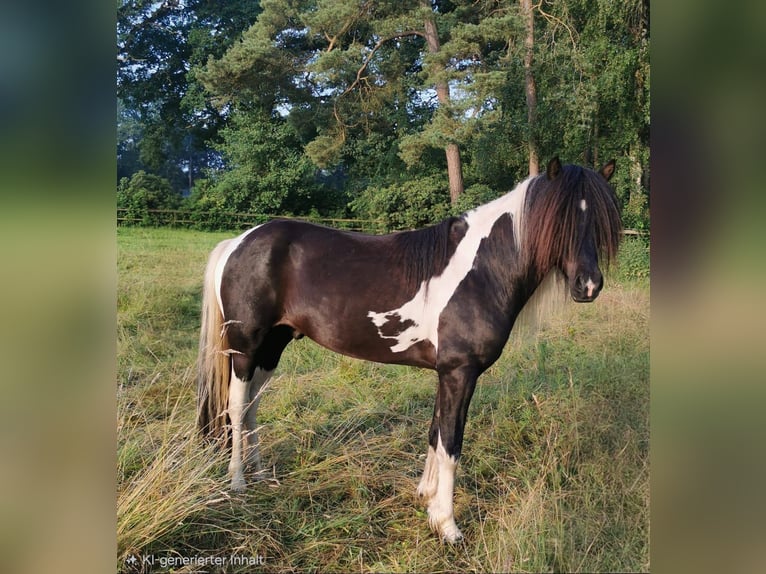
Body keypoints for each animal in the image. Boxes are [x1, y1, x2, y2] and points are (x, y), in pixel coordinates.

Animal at [196, 157, 622, 542]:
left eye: (599, 220)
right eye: (559, 219)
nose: (588, 285)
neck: (482, 271)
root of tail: (238, 242)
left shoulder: (446, 373)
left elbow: (435, 432)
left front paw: (426, 498)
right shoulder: (459, 372)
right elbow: (451, 442)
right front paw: (447, 525)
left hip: (272, 347)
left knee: (252, 406)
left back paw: (261, 474)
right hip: (245, 349)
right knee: (236, 407)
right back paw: (239, 483)